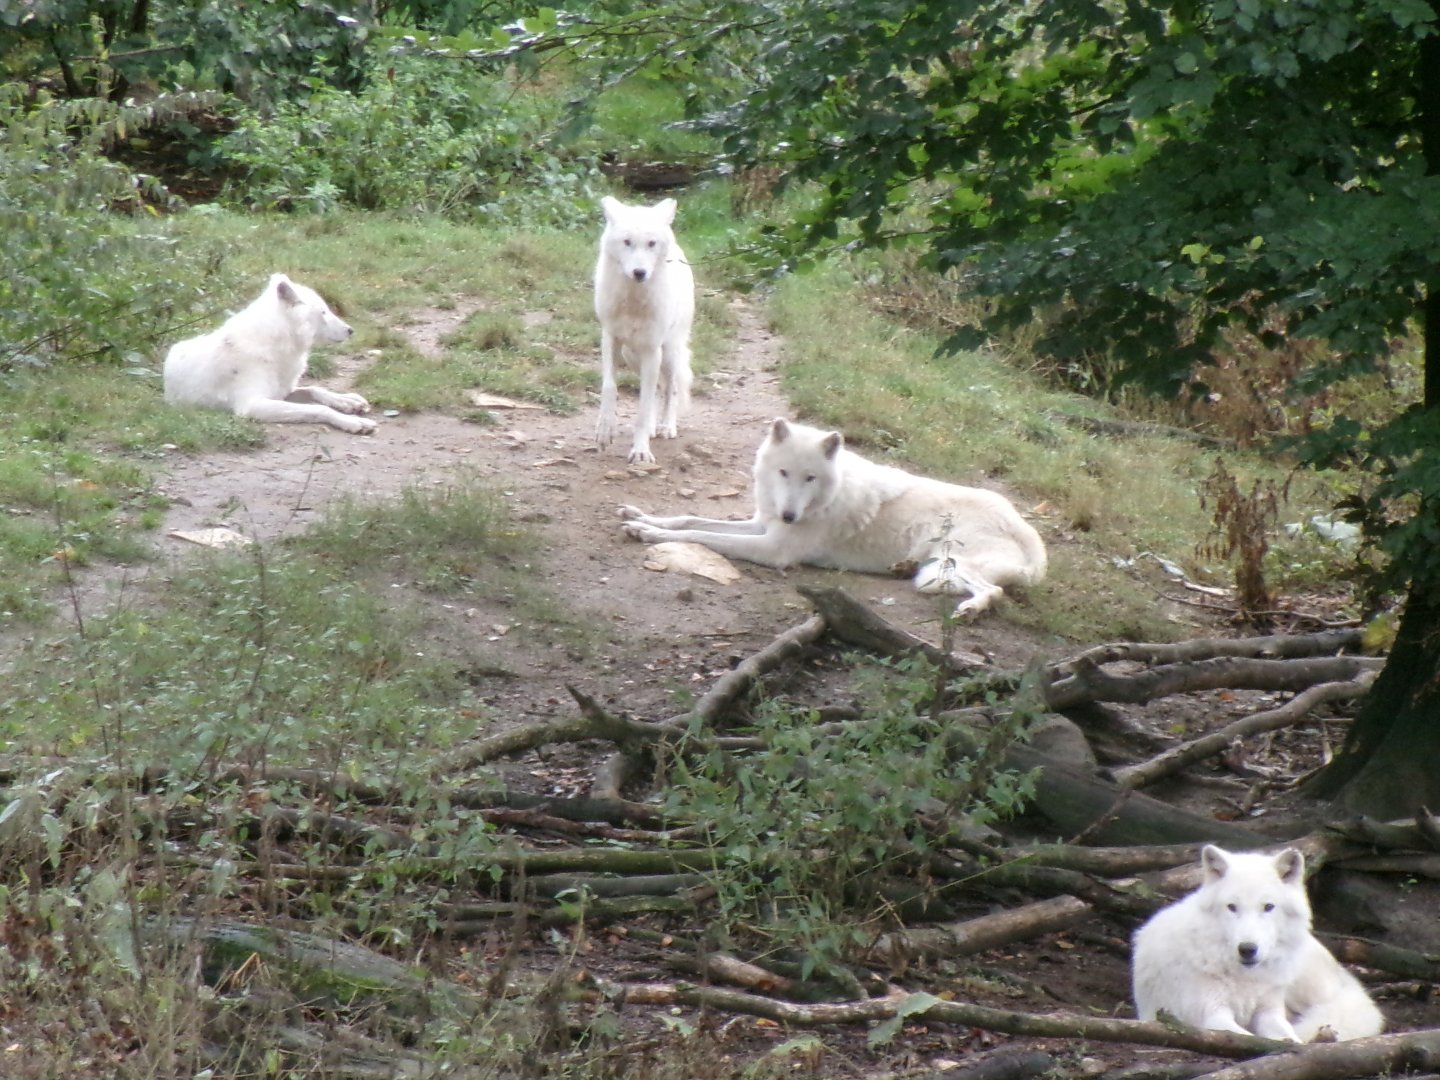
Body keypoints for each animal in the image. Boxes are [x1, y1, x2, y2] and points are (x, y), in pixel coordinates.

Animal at [163, 273, 376, 434]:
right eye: (323, 312)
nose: (351, 330)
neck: (274, 344)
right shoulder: (252, 405)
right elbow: (318, 408)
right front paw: (353, 422)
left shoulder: (283, 392)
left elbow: (315, 389)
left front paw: (348, 401)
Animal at [593, 195, 695, 464]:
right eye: (627, 242)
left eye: (651, 243)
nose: (640, 272)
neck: (633, 300)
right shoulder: (610, 339)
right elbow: (610, 388)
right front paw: (604, 432)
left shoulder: (652, 350)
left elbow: (644, 404)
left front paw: (640, 451)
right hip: (631, 355)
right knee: (656, 387)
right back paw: (651, 427)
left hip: (668, 353)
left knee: (671, 389)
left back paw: (666, 427)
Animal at [620, 417, 1047, 617]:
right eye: (784, 473)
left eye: (810, 478)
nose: (790, 515)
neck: (821, 499)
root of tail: (1033, 540)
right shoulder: (763, 525)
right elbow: (689, 519)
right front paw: (641, 516)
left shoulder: (774, 549)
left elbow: (699, 536)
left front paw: (647, 534)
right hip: (939, 568)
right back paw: (903, 567)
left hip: (955, 561)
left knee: (992, 591)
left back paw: (971, 610)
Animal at [1132, 845, 1384, 1042]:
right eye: (1232, 907)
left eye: (1268, 907)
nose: (1247, 949)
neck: (1245, 978)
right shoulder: (1211, 1015)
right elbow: (1247, 1038)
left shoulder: (1269, 1012)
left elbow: (1287, 1037)